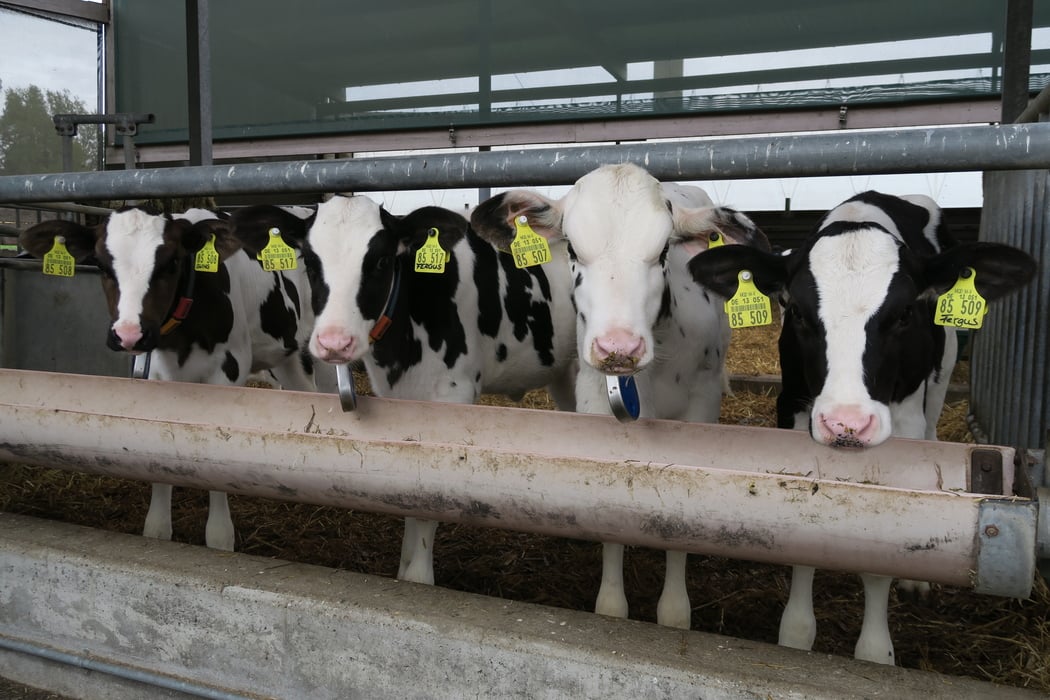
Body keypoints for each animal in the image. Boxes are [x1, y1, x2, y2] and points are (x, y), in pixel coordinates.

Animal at [20, 206, 317, 551]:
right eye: (102, 265)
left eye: (172, 262)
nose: (129, 334)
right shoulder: (153, 375)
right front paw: (158, 530)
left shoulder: (227, 372)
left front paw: (220, 538)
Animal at [471, 162, 770, 629]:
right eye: (573, 249)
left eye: (663, 250)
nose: (618, 348)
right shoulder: (596, 403)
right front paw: (611, 605)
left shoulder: (701, 410)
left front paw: (674, 610)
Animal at [688, 190, 1037, 663]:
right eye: (796, 311)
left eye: (905, 312)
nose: (846, 422)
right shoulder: (793, 409)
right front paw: (797, 634)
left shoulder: (903, 420)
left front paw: (875, 651)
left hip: (940, 375)